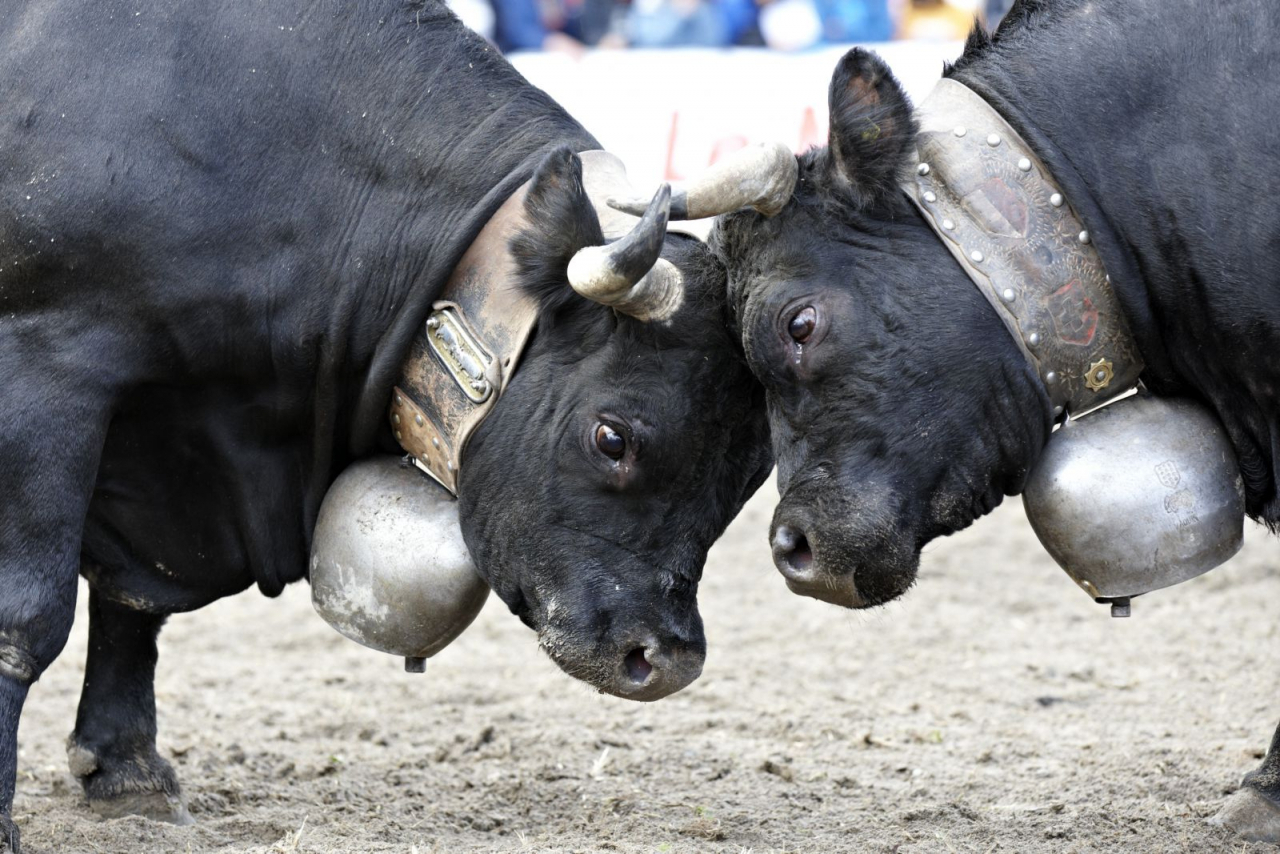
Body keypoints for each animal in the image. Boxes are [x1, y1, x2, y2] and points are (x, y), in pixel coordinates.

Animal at [0, 1, 768, 850]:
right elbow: (27, 611)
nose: (666, 659)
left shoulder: (162, 445)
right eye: (613, 438)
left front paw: (126, 769)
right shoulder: (49, 366)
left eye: (751, 473)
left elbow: (134, 602)